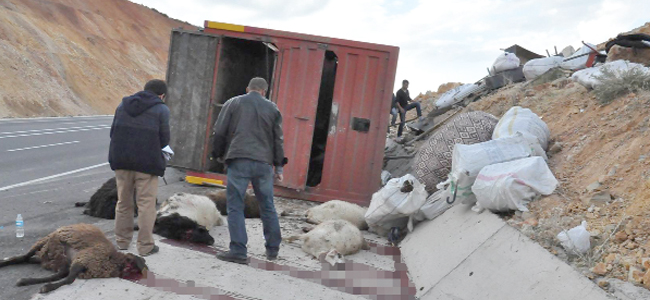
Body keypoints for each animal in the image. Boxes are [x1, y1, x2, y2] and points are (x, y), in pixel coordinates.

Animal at [0, 224, 147, 294]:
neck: (114, 260)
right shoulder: (83, 259)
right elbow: (69, 279)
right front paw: (47, 287)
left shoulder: (80, 264)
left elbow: (67, 278)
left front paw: (45, 286)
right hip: (48, 240)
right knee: (23, 256)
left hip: (58, 257)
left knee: (37, 263)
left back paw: (25, 280)